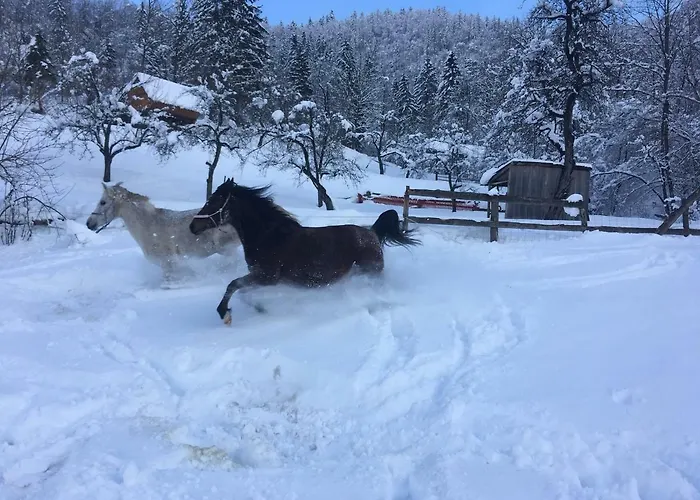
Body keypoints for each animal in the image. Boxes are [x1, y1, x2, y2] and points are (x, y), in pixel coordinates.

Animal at [188, 179, 420, 325]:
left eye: (214, 201)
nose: (192, 227)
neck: (268, 236)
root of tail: (372, 232)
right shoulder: (259, 277)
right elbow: (243, 292)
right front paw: (260, 308)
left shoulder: (267, 276)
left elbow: (233, 285)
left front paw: (224, 314)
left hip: (371, 274)